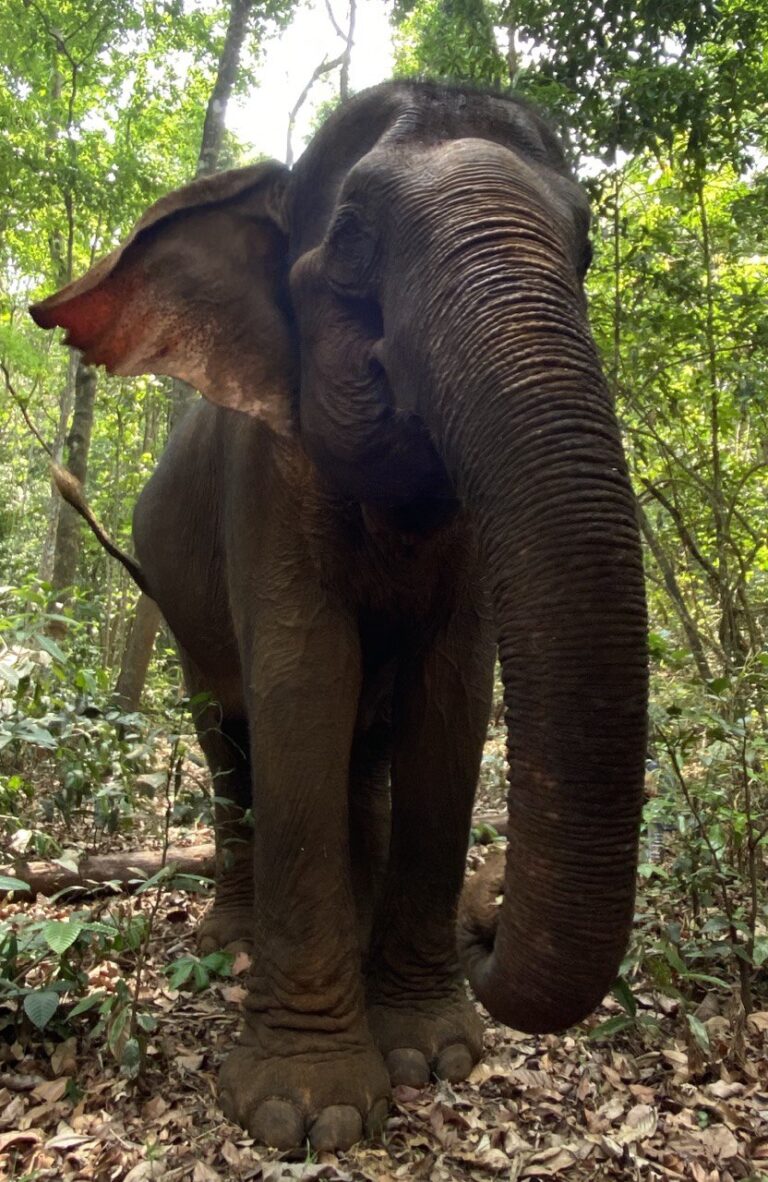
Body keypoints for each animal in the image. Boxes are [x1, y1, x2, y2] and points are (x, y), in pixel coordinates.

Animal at [29, 78, 642, 1148]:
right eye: (352, 240)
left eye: (586, 249)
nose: (487, 923)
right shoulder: (263, 480)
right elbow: (304, 675)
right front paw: (305, 1110)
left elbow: (451, 694)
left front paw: (433, 1055)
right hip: (179, 610)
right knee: (227, 735)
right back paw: (235, 940)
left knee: (363, 750)